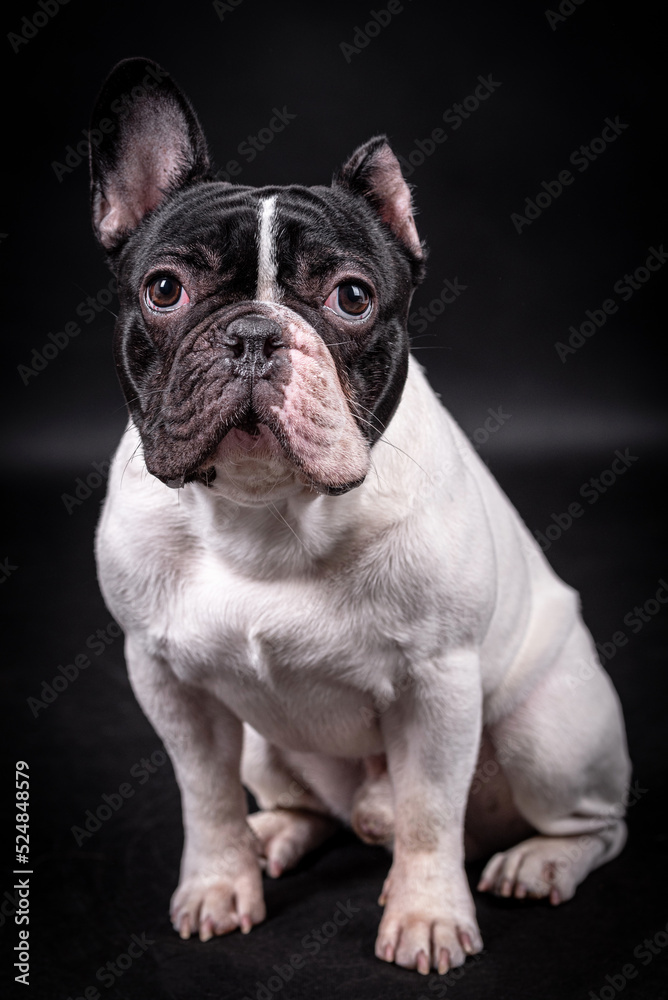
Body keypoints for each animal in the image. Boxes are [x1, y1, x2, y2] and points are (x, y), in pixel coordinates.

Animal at [90, 56, 632, 976]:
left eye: (352, 298)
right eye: (165, 289)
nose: (252, 334)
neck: (266, 511)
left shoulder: (437, 684)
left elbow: (429, 813)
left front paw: (427, 917)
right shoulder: (166, 678)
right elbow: (204, 795)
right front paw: (218, 882)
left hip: (548, 736)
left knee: (597, 824)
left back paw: (540, 862)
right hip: (268, 746)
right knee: (305, 805)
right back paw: (276, 837)